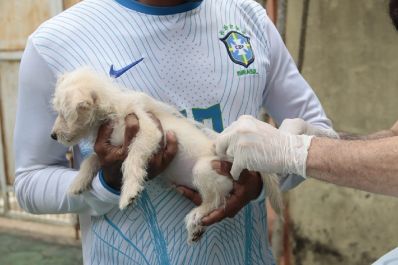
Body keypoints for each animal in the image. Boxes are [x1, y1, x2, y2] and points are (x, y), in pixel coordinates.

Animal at [50, 67, 282, 242]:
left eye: (64, 114)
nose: (53, 136)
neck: (112, 109)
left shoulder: (149, 133)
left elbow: (132, 160)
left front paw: (129, 192)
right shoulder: (111, 148)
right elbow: (92, 159)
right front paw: (78, 182)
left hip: (203, 170)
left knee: (217, 201)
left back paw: (196, 216)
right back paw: (197, 229)